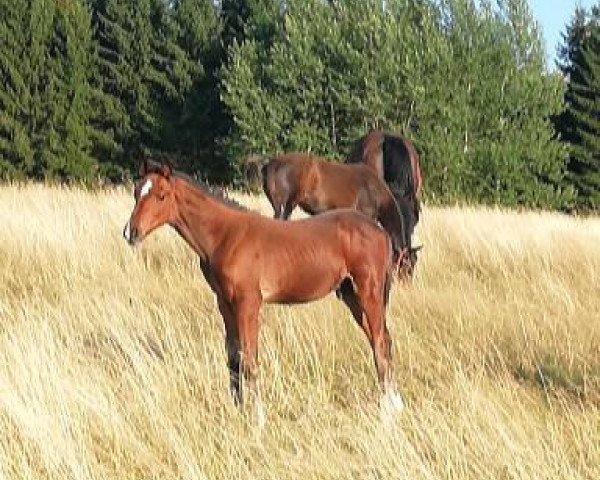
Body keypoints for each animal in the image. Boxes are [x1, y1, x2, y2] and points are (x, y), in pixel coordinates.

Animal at [122, 159, 404, 426]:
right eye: (136, 192)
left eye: (161, 196)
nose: (131, 233)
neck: (226, 236)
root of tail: (379, 231)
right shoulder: (225, 303)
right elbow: (233, 359)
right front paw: (237, 411)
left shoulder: (248, 302)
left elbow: (249, 359)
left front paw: (258, 419)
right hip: (350, 295)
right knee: (382, 340)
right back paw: (395, 404)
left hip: (368, 291)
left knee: (380, 342)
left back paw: (387, 413)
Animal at [258, 154, 418, 280]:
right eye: (407, 265)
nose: (407, 283)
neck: (376, 191)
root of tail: (272, 164)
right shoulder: (366, 215)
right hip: (288, 204)